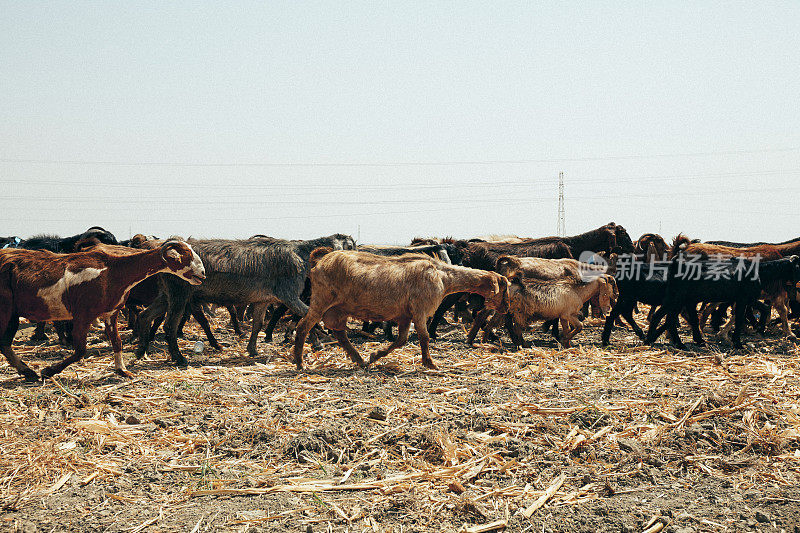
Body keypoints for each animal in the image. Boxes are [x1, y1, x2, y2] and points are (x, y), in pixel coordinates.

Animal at [290, 247, 510, 368]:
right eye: (504, 288)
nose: (507, 308)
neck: (443, 275)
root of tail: (319, 261)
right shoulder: (420, 310)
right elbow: (424, 337)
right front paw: (430, 363)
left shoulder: (405, 315)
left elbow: (401, 340)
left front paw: (375, 356)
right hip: (321, 301)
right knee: (303, 326)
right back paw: (300, 362)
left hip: (338, 309)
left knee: (340, 333)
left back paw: (360, 360)